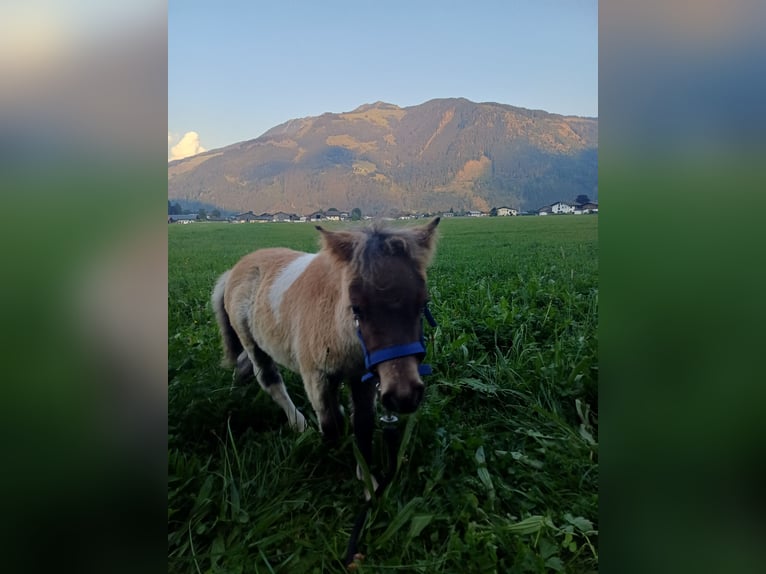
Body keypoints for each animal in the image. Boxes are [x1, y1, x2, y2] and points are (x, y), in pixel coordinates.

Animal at [210, 217, 440, 496]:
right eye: (357, 307)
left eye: (423, 303)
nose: (403, 395)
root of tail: (234, 270)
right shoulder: (315, 374)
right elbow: (331, 423)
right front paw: (331, 458)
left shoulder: (363, 378)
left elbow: (363, 422)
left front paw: (368, 480)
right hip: (251, 341)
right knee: (268, 379)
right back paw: (297, 423)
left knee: (242, 365)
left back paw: (234, 393)